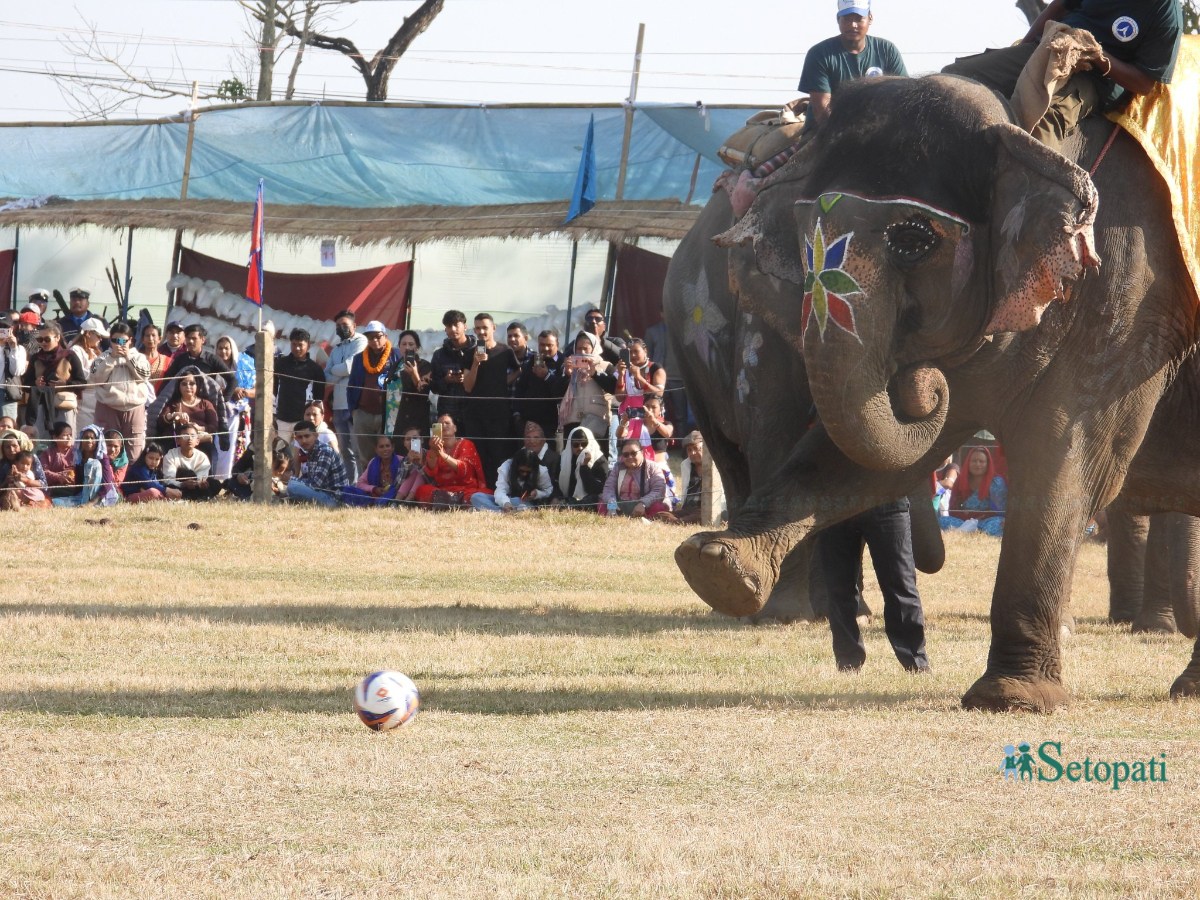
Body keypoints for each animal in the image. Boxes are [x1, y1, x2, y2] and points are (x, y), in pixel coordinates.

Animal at [667, 181, 945, 628]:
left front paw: (850, 612)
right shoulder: (760, 319)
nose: (928, 387)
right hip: (687, 351)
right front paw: (784, 615)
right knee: (729, 457)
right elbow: (775, 431)